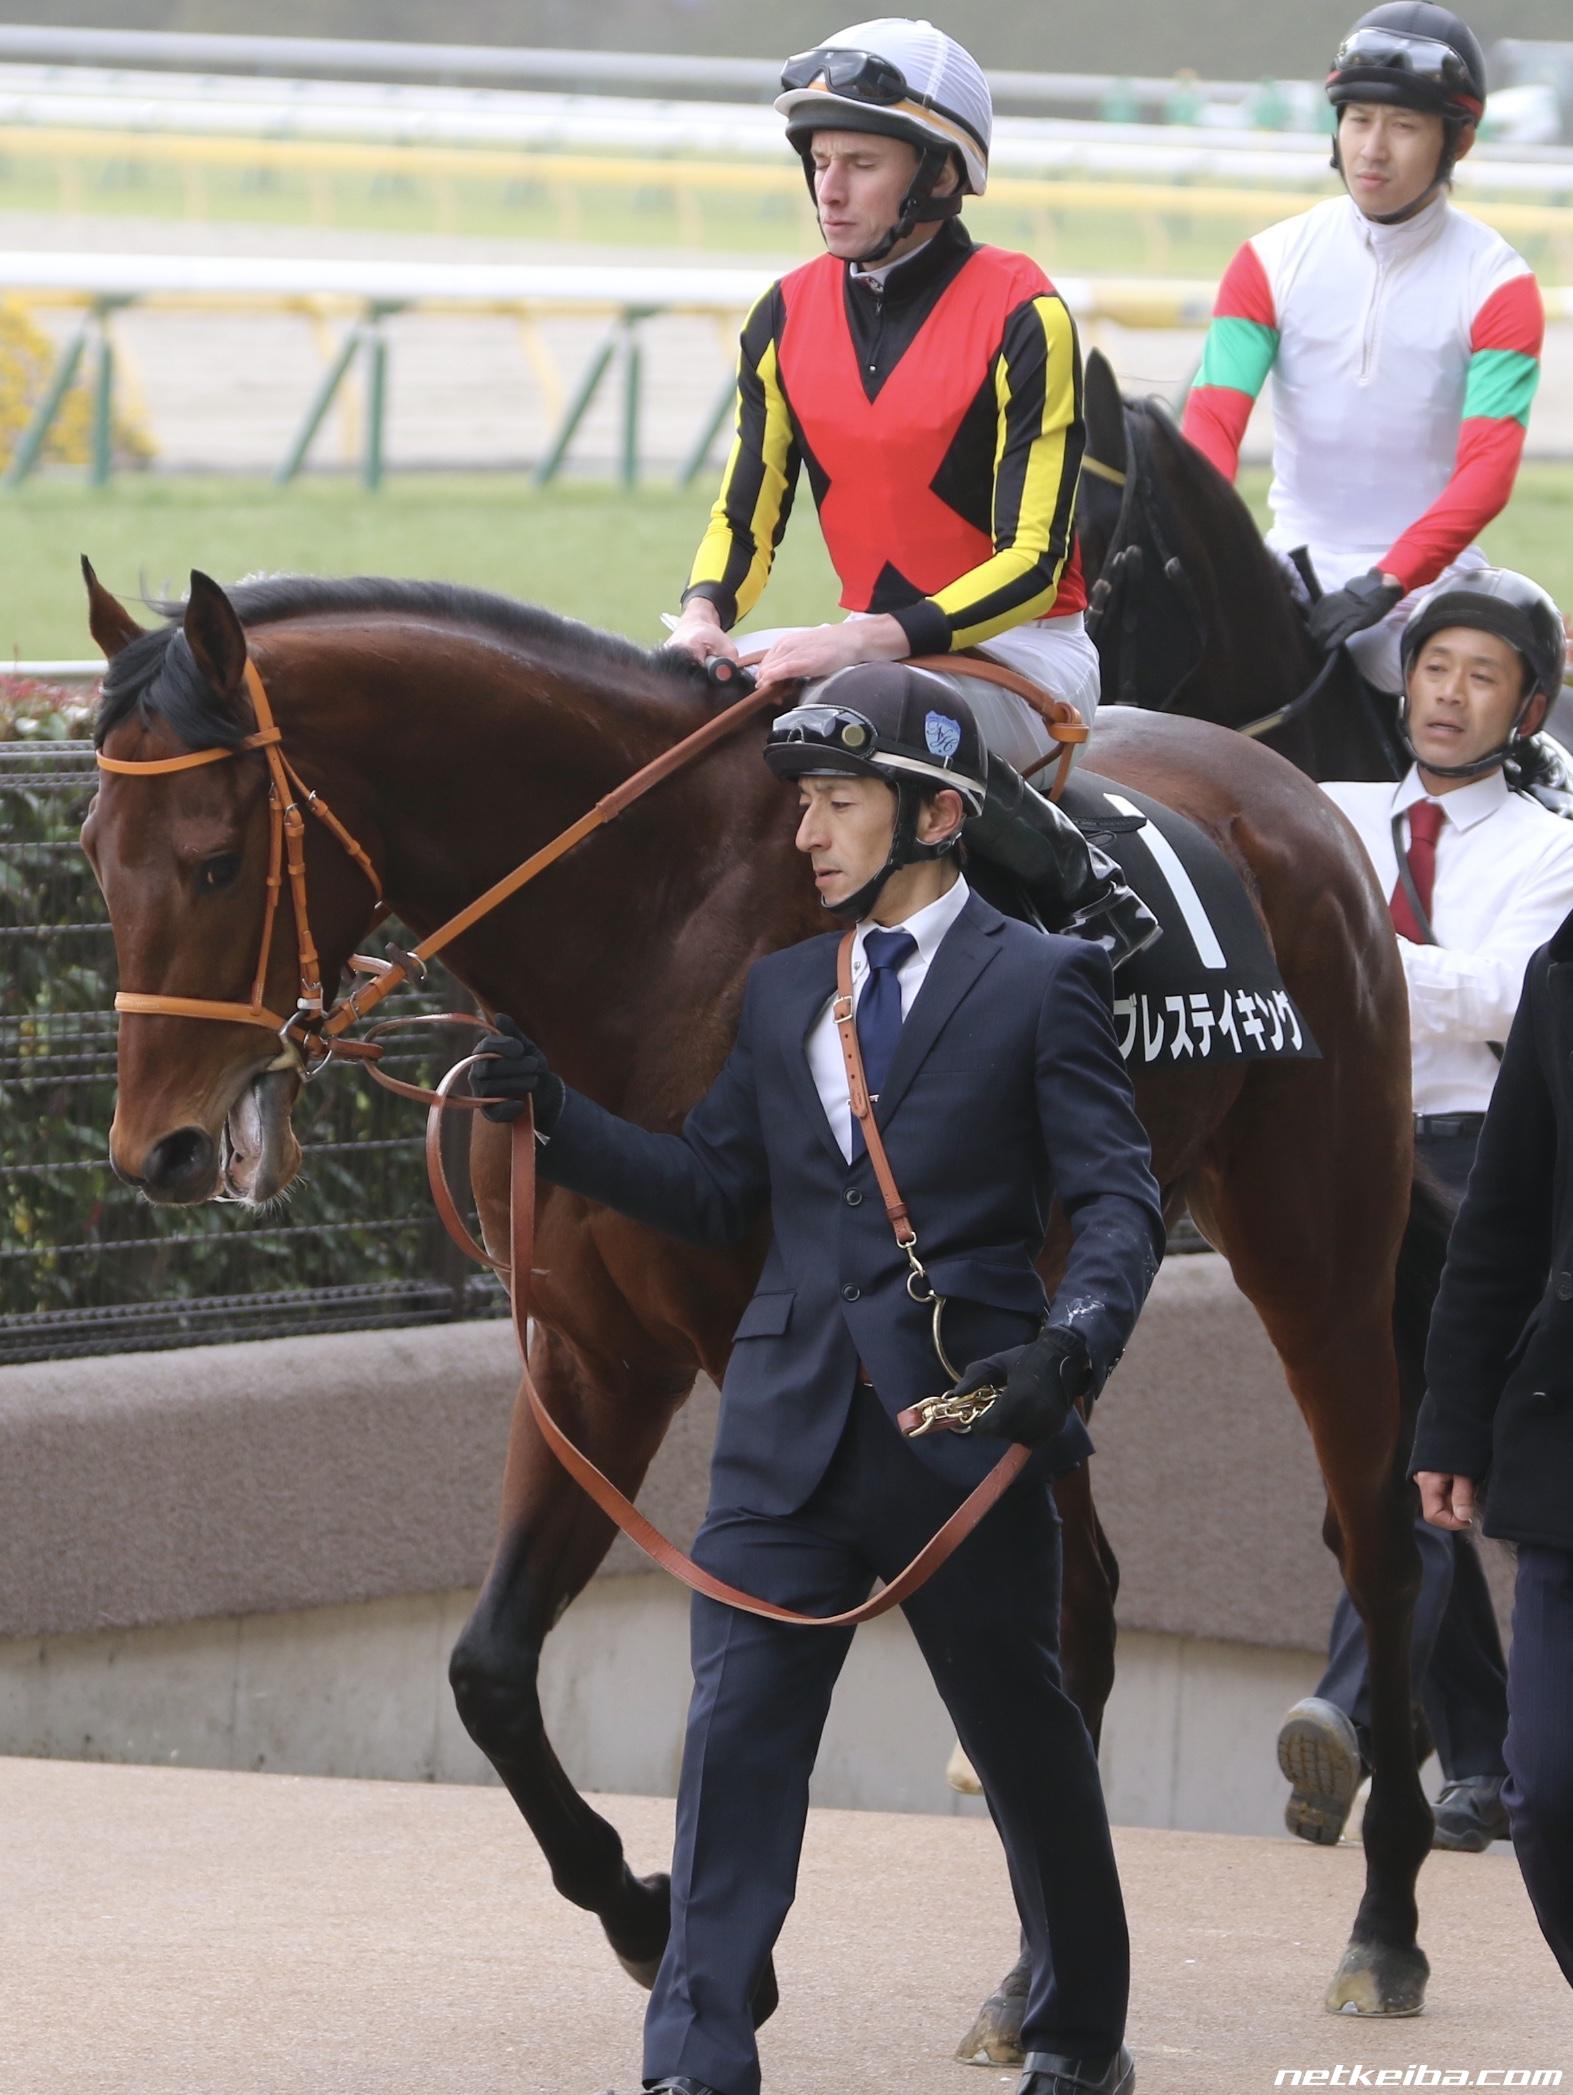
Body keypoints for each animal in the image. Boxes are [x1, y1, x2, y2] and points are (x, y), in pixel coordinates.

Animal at [80, 561, 1449, 2061]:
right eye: (91, 848)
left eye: (215, 857)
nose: (160, 1148)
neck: (652, 929)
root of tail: (1294, 795)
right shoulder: (593, 1356)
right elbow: (491, 1667)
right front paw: (645, 1915)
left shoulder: (772, 1372)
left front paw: (701, 1940)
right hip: (1023, 1335)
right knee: (1072, 1603)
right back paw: (1033, 1977)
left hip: (1314, 1246)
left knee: (1378, 1546)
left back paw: (1382, 1927)